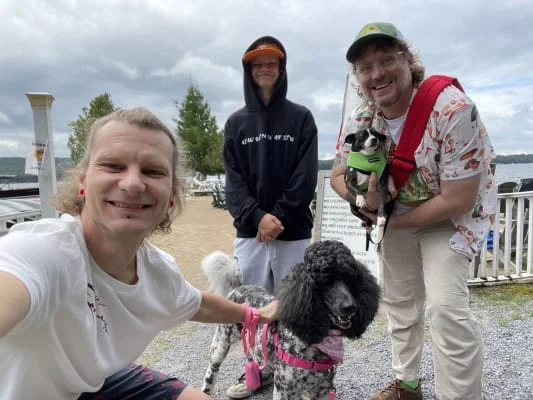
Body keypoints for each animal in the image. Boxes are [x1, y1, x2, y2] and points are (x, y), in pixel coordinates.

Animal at [200, 240, 380, 400]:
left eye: (350, 279)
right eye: (325, 281)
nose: (350, 307)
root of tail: (239, 287)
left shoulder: (321, 389)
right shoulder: (286, 389)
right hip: (220, 345)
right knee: (210, 373)